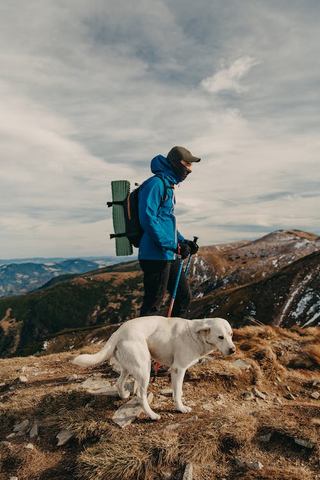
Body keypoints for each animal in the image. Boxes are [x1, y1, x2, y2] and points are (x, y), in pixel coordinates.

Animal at [74, 316, 236, 420]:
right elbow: (177, 393)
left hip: (129, 367)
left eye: (231, 334)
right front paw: (181, 407)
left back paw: (123, 395)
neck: (196, 335)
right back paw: (152, 415)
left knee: (119, 383)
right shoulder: (178, 369)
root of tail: (118, 332)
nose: (233, 350)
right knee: (141, 395)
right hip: (144, 368)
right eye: (220, 337)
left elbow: (178, 390)